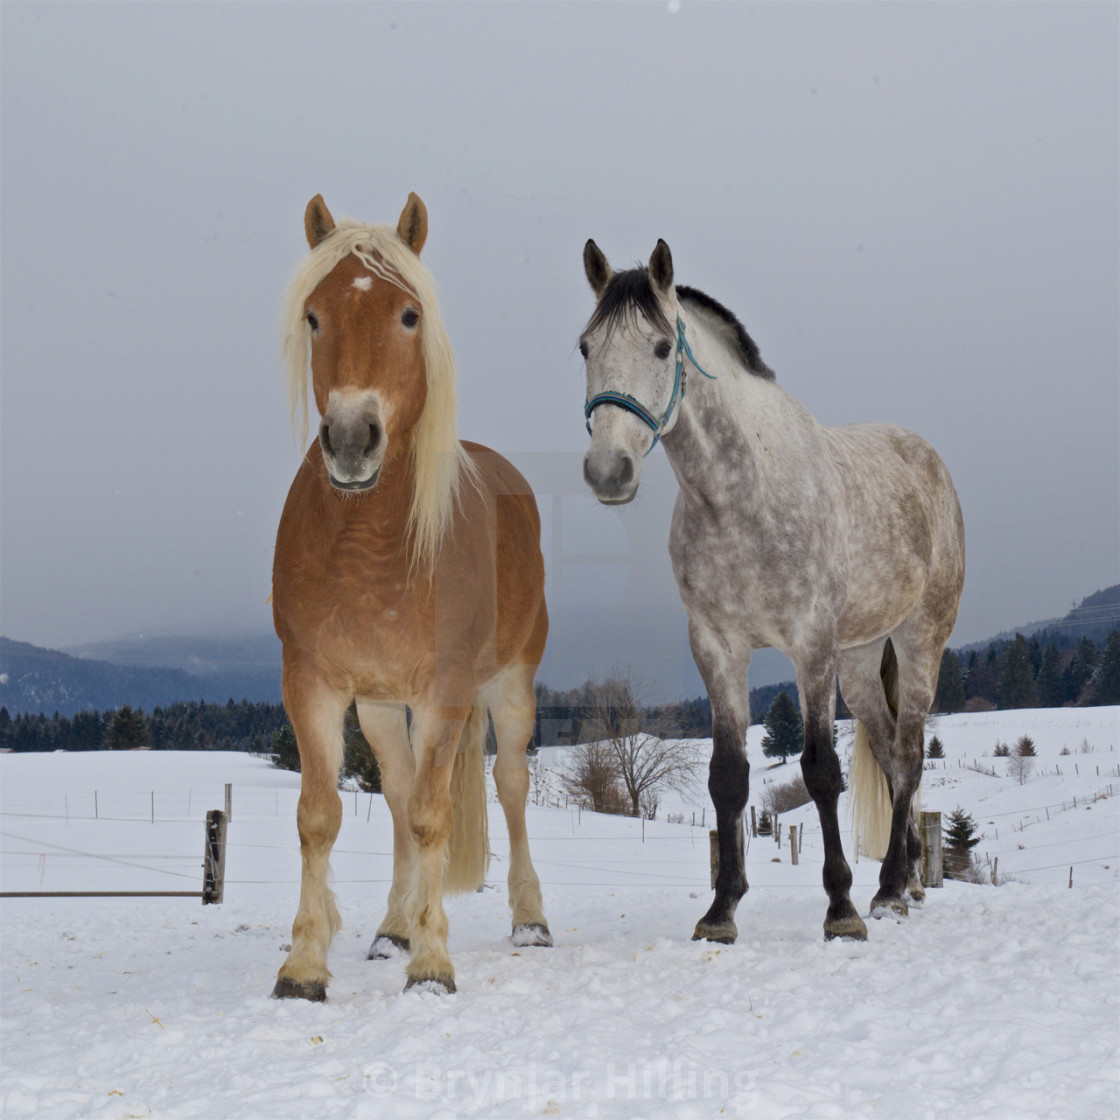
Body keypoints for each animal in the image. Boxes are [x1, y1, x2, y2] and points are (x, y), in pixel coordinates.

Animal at [272, 194, 551, 999]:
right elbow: (322, 815)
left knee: (512, 786)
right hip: (380, 706)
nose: (351, 439)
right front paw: (304, 966)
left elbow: (433, 815)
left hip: (509, 685)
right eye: (314, 316)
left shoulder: (446, 691)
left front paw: (432, 965)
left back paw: (530, 921)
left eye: (408, 314)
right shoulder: (313, 682)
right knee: (394, 795)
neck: (370, 547)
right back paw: (391, 929)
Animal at [577, 238, 963, 945]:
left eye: (662, 348)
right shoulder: (717, 647)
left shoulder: (810, 647)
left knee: (910, 755)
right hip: (860, 663)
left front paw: (840, 910)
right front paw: (720, 912)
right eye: (586, 347)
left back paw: (887, 892)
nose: (607, 470)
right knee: (890, 757)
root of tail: (927, 461)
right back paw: (906, 882)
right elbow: (728, 779)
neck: (740, 496)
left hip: (920, 643)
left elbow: (819, 772)